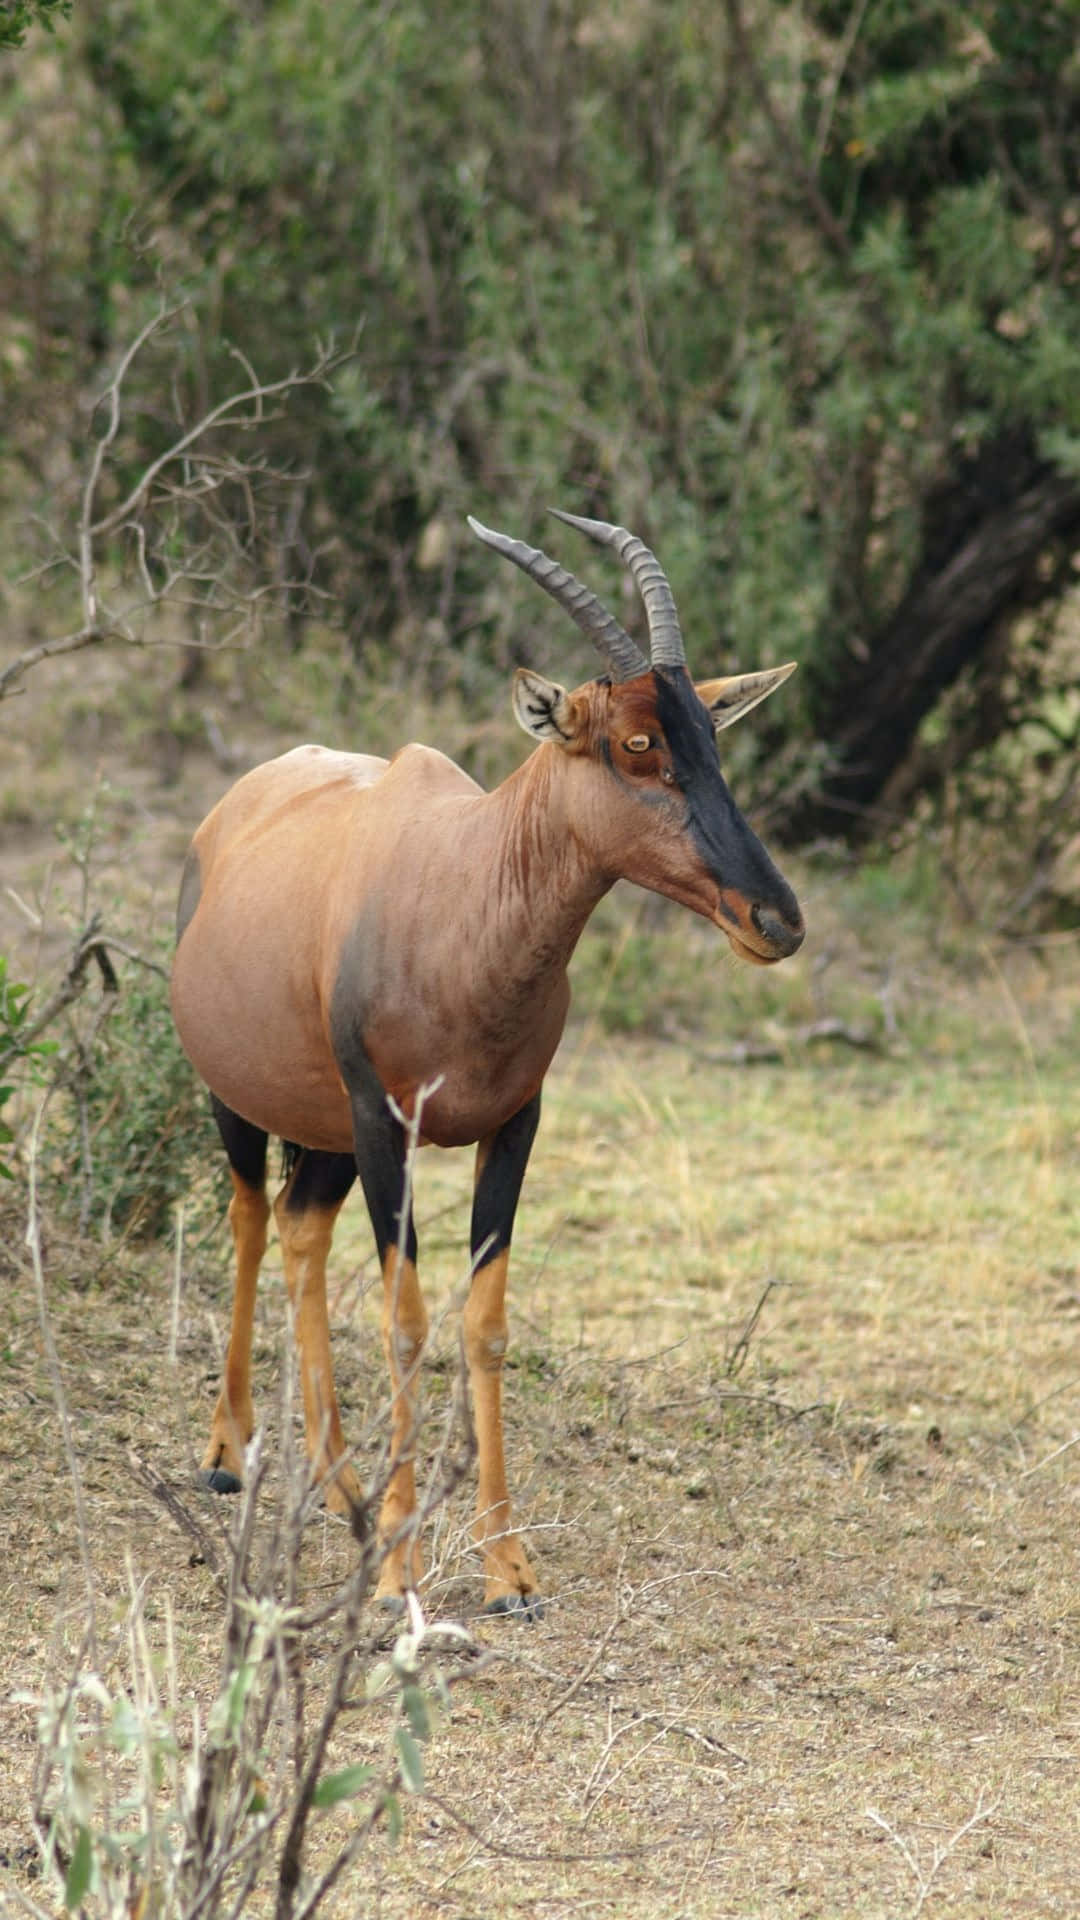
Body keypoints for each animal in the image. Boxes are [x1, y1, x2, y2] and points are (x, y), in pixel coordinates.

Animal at [171, 506, 803, 1605]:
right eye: (637, 744)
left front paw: (506, 1563)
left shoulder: (515, 1124)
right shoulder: (387, 1128)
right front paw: (400, 1567)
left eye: (711, 736)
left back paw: (340, 1486)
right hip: (246, 1104)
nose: (776, 919)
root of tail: (234, 806)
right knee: (252, 1219)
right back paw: (228, 1451)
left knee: (299, 1228)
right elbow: (407, 1320)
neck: (463, 889)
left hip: (326, 1134)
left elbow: (485, 1323)